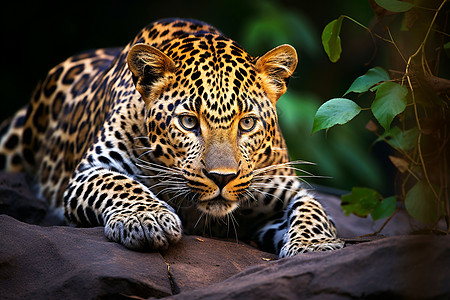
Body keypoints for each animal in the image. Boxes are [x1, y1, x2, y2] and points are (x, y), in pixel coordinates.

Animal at [0, 18, 344, 258]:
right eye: (188, 122)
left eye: (247, 123)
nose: (222, 178)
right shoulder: (90, 171)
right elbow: (120, 184)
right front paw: (147, 219)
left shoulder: (285, 189)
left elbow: (313, 210)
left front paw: (316, 246)